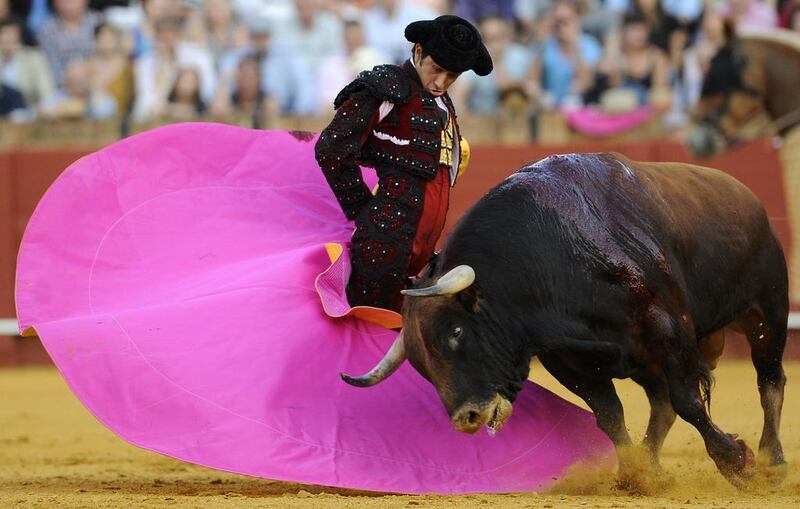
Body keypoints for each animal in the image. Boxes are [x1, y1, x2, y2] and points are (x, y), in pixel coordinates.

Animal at [342, 153, 788, 486]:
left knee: (770, 383)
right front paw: (635, 475)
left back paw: (772, 461)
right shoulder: (567, 361)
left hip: (767, 313)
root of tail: (748, 198)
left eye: (456, 331)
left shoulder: (667, 329)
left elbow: (690, 401)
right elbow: (610, 415)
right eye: (421, 366)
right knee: (661, 405)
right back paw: (652, 463)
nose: (466, 419)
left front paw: (736, 462)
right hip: (649, 360)